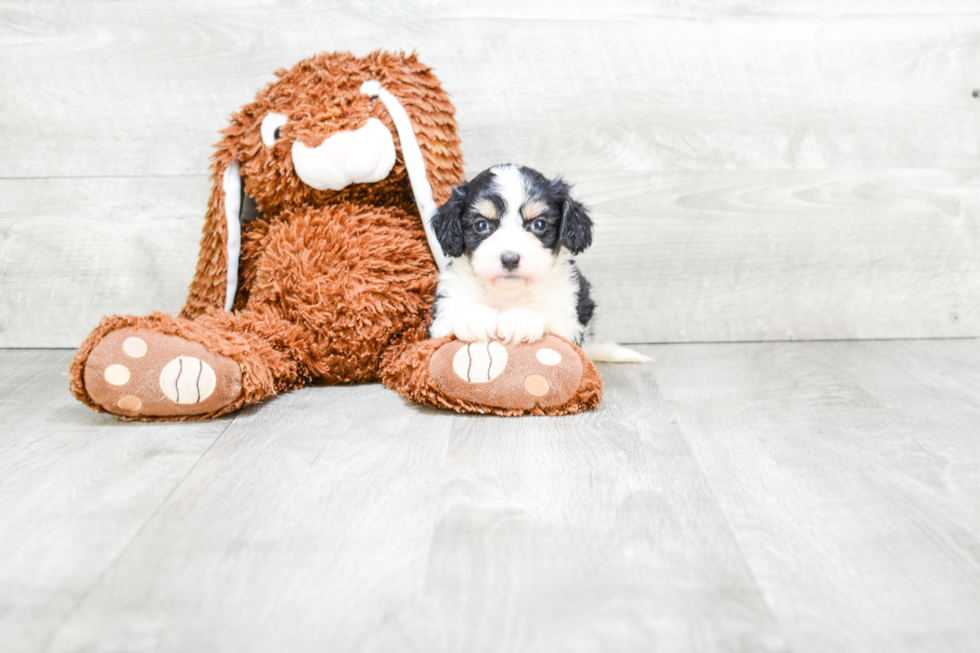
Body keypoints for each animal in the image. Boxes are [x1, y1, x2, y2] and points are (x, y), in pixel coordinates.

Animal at [430, 164, 596, 346]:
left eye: (539, 224)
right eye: (482, 225)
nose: (510, 260)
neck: (507, 292)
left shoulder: (568, 316)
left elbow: (547, 309)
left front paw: (521, 317)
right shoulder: (442, 315)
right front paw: (475, 317)